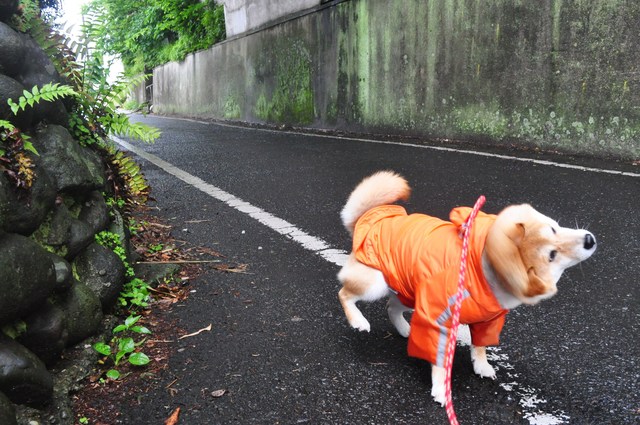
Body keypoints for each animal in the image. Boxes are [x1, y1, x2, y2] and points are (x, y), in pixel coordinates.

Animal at [338, 170, 596, 404]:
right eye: (552, 254)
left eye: (553, 230)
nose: (589, 240)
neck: (481, 270)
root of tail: (368, 220)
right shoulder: (437, 319)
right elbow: (440, 361)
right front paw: (441, 389)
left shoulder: (488, 320)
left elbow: (480, 345)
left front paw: (481, 365)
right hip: (375, 284)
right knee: (345, 293)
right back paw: (358, 320)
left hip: (409, 292)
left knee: (392, 308)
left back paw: (404, 329)